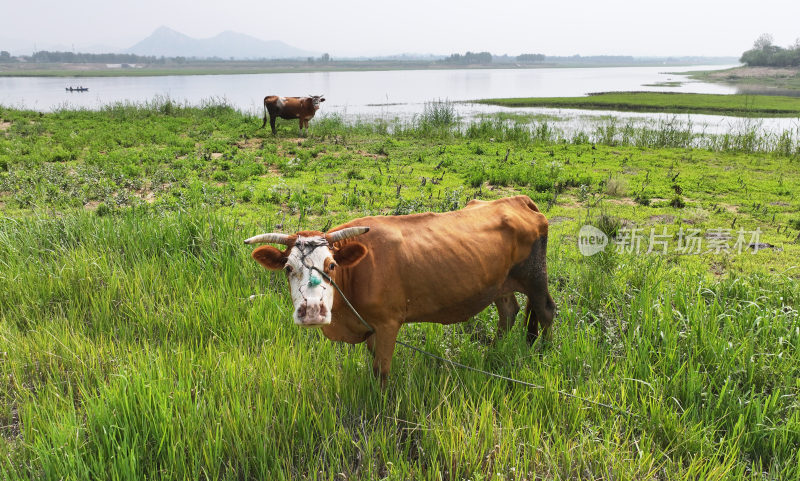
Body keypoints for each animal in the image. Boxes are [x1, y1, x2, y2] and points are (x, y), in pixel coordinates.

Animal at [245, 193, 556, 384]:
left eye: (331, 265)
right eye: (288, 268)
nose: (312, 311)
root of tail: (518, 199)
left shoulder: (387, 323)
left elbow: (381, 371)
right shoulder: (370, 326)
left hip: (535, 277)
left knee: (545, 312)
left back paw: (544, 354)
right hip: (500, 283)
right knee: (509, 312)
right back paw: (493, 350)